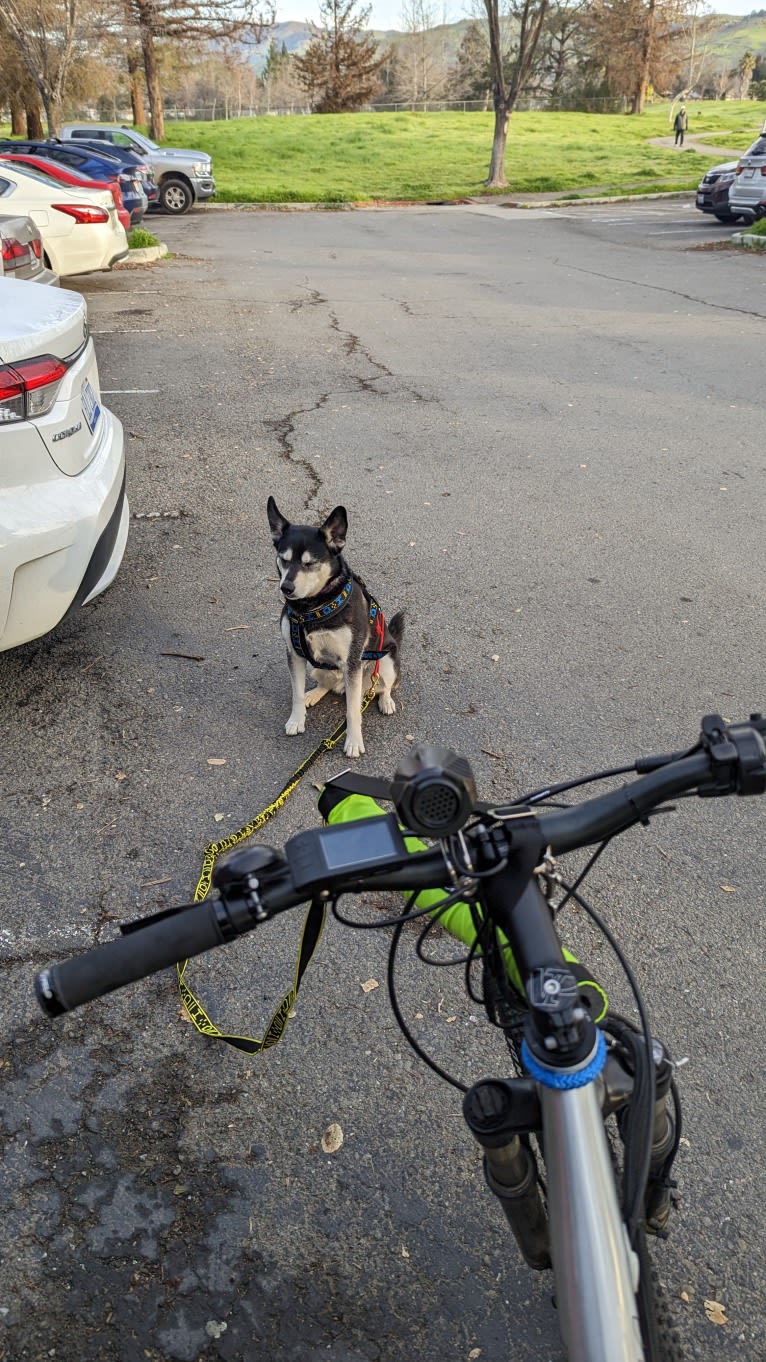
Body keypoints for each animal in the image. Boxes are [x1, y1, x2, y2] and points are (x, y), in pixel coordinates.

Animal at [265, 498, 403, 762]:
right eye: (283, 559)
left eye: (310, 563)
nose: (286, 587)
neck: (312, 608)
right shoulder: (294, 654)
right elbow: (296, 694)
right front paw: (297, 719)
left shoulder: (352, 661)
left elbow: (352, 711)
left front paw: (353, 741)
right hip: (316, 667)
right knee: (327, 685)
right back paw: (313, 694)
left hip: (386, 661)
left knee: (384, 686)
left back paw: (386, 701)